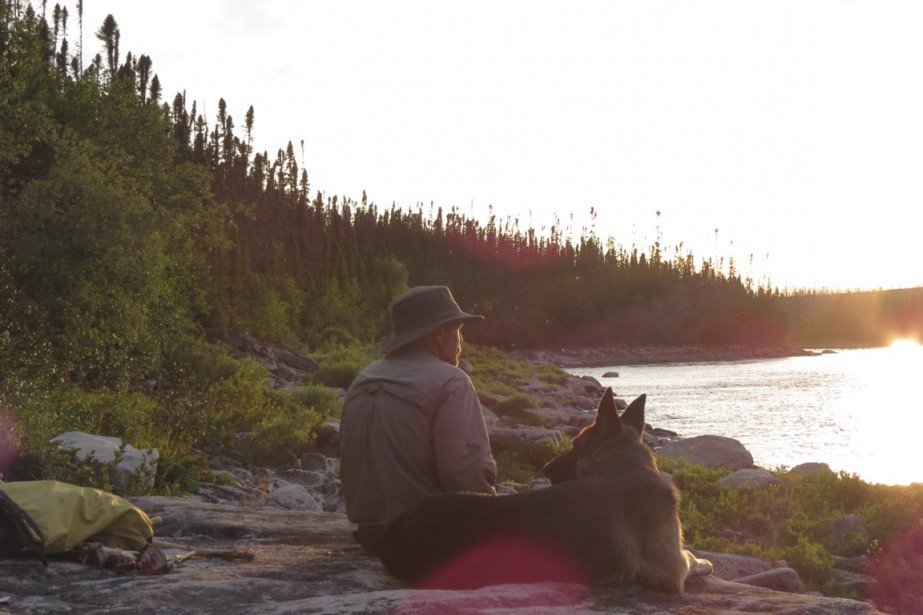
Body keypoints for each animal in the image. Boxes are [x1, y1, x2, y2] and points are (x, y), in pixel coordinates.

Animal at [364, 390, 712, 592]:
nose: (544, 469)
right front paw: (705, 562)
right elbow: (692, 558)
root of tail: (394, 526)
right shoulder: (672, 567)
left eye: (574, 445)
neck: (622, 468)